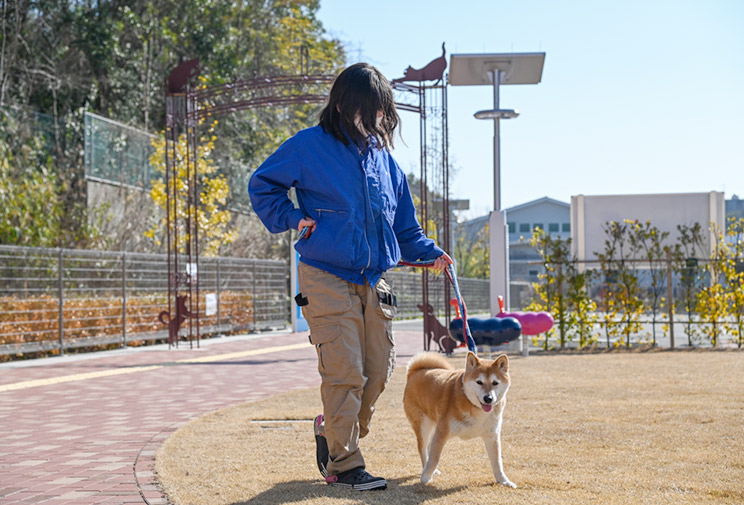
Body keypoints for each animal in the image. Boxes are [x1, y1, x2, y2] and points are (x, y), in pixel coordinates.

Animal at [404, 348, 516, 486]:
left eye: (495, 383)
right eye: (479, 382)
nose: (488, 398)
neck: (476, 408)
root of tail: (414, 372)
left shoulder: (492, 436)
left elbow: (497, 463)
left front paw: (504, 481)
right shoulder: (442, 432)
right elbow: (435, 458)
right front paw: (425, 477)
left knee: (428, 447)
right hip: (424, 425)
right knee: (423, 449)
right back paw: (427, 470)